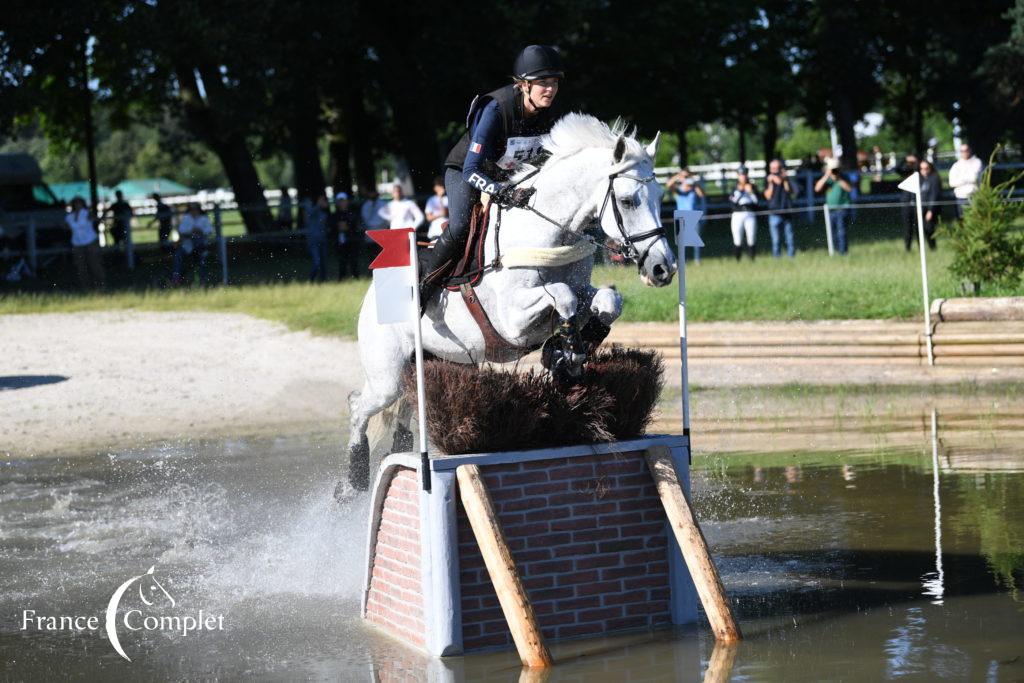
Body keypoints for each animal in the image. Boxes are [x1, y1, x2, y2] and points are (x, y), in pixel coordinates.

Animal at [348, 114, 675, 489]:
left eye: (659, 195)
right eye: (628, 200)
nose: (663, 268)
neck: (548, 231)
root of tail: (371, 294)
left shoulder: (581, 291)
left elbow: (606, 300)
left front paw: (566, 353)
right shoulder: (513, 320)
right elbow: (562, 297)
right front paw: (568, 354)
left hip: (427, 362)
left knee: (401, 409)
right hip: (386, 374)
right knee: (358, 406)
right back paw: (351, 481)